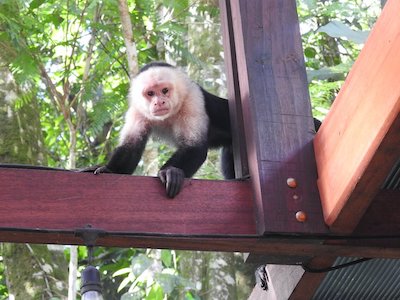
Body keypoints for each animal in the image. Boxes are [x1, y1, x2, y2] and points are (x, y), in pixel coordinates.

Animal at [94, 62, 234, 198]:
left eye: (165, 90)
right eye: (150, 93)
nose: (159, 102)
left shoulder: (193, 99)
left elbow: (195, 148)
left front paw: (170, 172)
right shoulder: (137, 110)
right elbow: (131, 147)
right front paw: (109, 170)